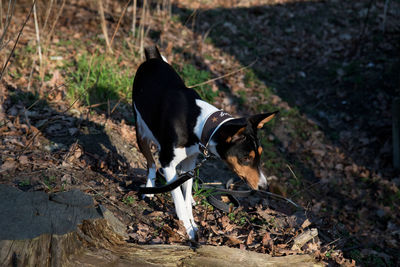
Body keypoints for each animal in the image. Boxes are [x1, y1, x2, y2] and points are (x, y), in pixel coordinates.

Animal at [133, 46, 276, 241]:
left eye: (260, 155)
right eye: (246, 158)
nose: (264, 187)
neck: (199, 124)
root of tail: (152, 58)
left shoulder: (190, 161)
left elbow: (185, 196)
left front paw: (192, 222)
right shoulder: (167, 162)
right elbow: (179, 199)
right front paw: (188, 229)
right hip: (141, 131)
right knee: (151, 163)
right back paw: (149, 188)